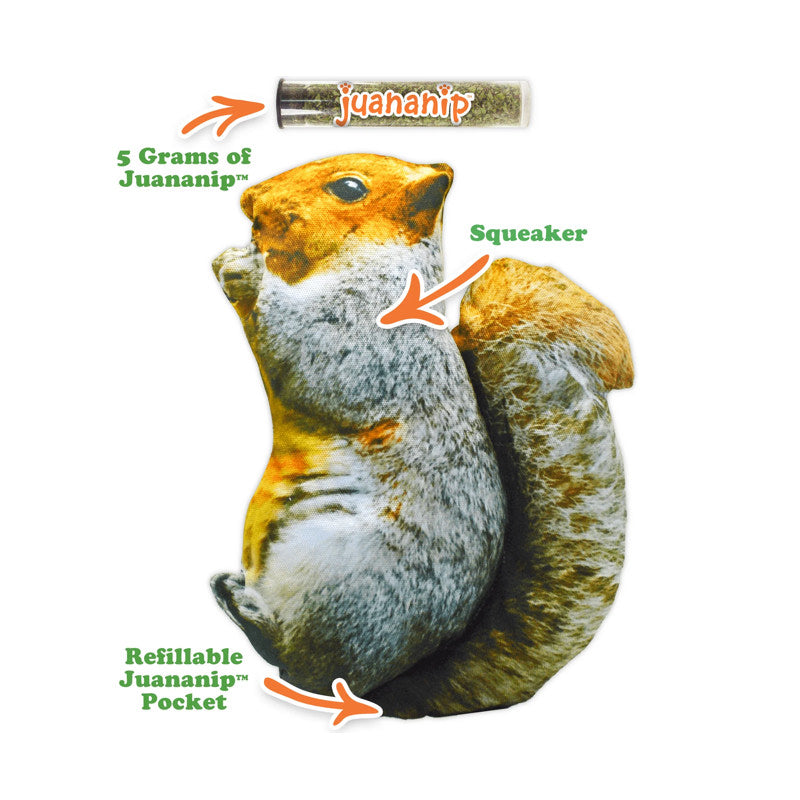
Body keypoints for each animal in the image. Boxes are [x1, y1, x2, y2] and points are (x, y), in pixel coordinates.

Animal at [210, 153, 633, 719]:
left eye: (349, 188)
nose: (249, 200)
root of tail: (385, 684)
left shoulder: (372, 338)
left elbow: (314, 347)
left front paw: (244, 267)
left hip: (342, 581)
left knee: (304, 660)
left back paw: (251, 611)